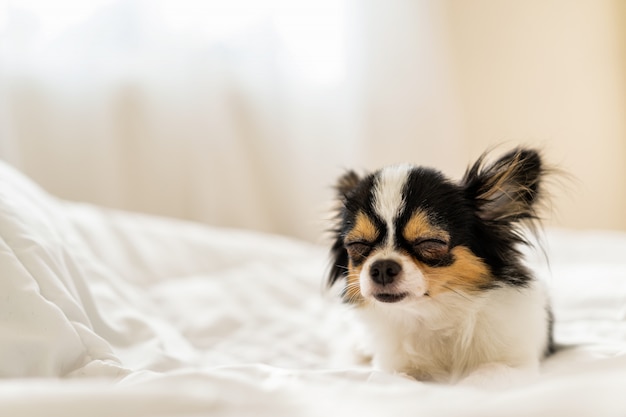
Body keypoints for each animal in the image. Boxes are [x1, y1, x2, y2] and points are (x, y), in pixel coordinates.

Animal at [326, 148, 552, 386]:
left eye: (429, 242)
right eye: (357, 245)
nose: (382, 267)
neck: (433, 315)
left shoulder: (517, 365)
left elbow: (487, 374)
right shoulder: (392, 366)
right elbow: (398, 378)